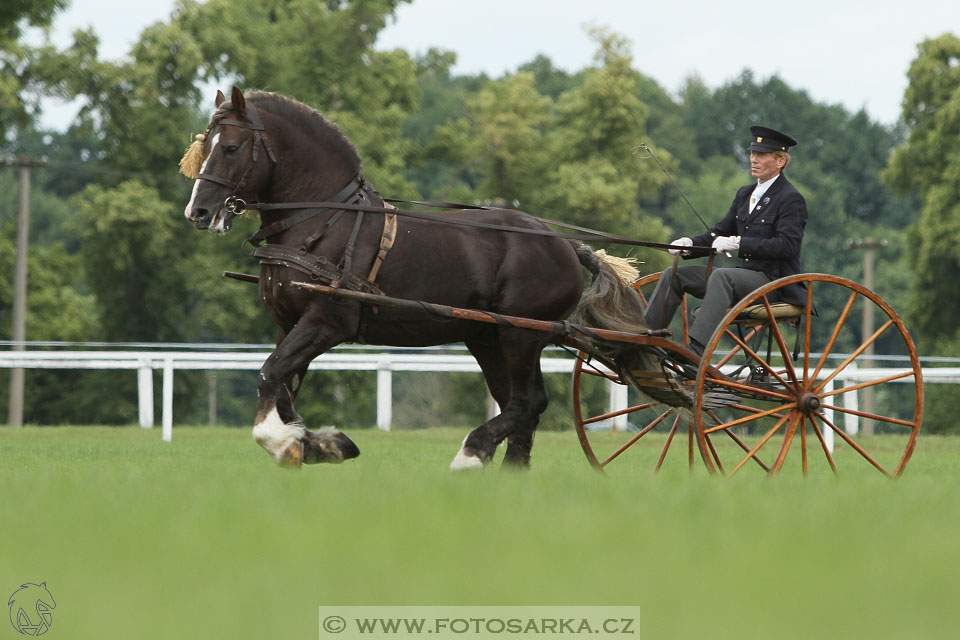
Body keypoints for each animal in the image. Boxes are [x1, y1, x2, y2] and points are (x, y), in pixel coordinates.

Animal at [180, 87, 644, 470]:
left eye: (231, 147)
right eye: (205, 145)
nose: (198, 212)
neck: (322, 220)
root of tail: (564, 244)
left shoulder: (327, 323)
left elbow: (269, 375)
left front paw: (291, 443)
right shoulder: (288, 323)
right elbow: (282, 387)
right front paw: (318, 443)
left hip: (521, 335)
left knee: (527, 401)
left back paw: (471, 453)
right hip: (486, 336)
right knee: (520, 404)